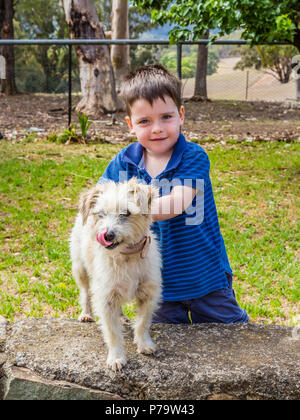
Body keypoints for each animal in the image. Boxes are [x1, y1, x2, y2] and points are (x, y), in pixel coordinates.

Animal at [69, 177, 162, 370]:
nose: (108, 235)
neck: (126, 256)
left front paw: (144, 344)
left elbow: (143, 323)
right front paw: (116, 357)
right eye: (101, 214)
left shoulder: (148, 293)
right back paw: (86, 314)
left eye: (126, 213)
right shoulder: (106, 298)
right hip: (80, 269)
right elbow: (112, 333)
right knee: (85, 292)